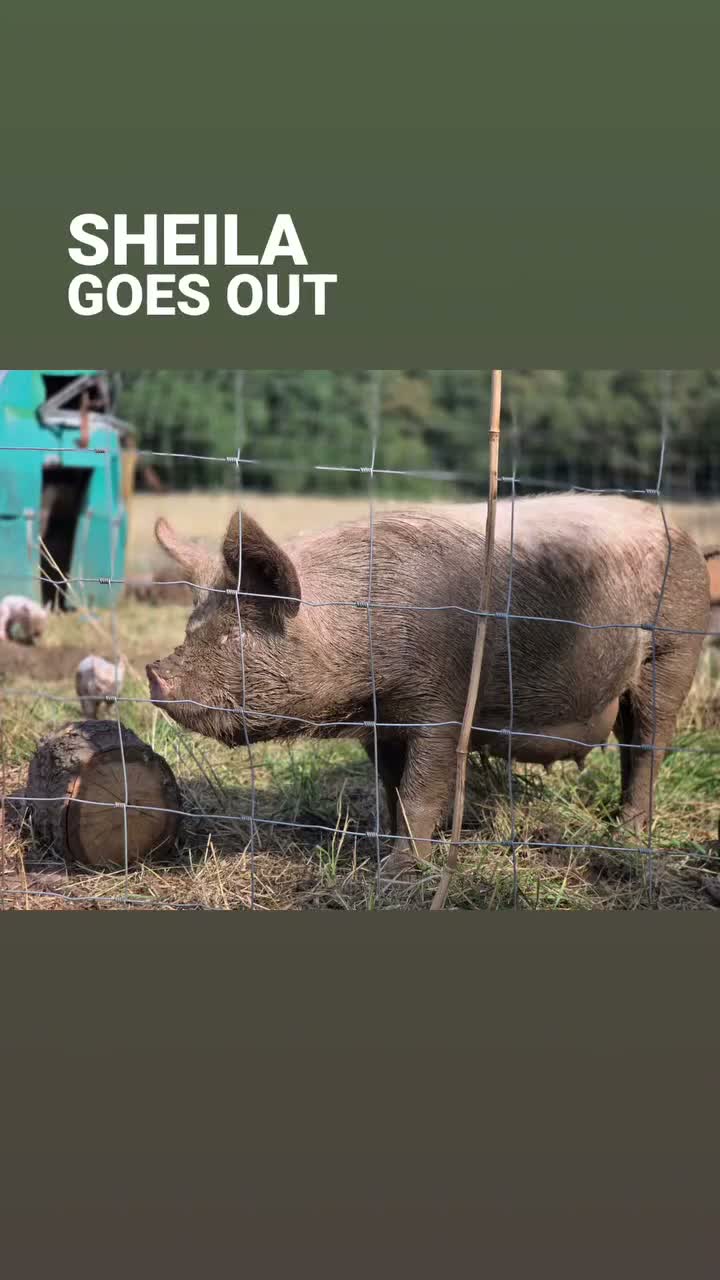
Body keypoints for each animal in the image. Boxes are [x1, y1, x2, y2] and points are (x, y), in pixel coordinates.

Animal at [146, 494, 710, 873]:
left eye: (237, 634)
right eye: (193, 623)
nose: (154, 672)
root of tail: (686, 536)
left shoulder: (442, 703)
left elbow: (420, 790)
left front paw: (400, 871)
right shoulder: (380, 724)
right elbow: (391, 787)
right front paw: (385, 849)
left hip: (675, 650)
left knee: (649, 744)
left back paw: (629, 831)